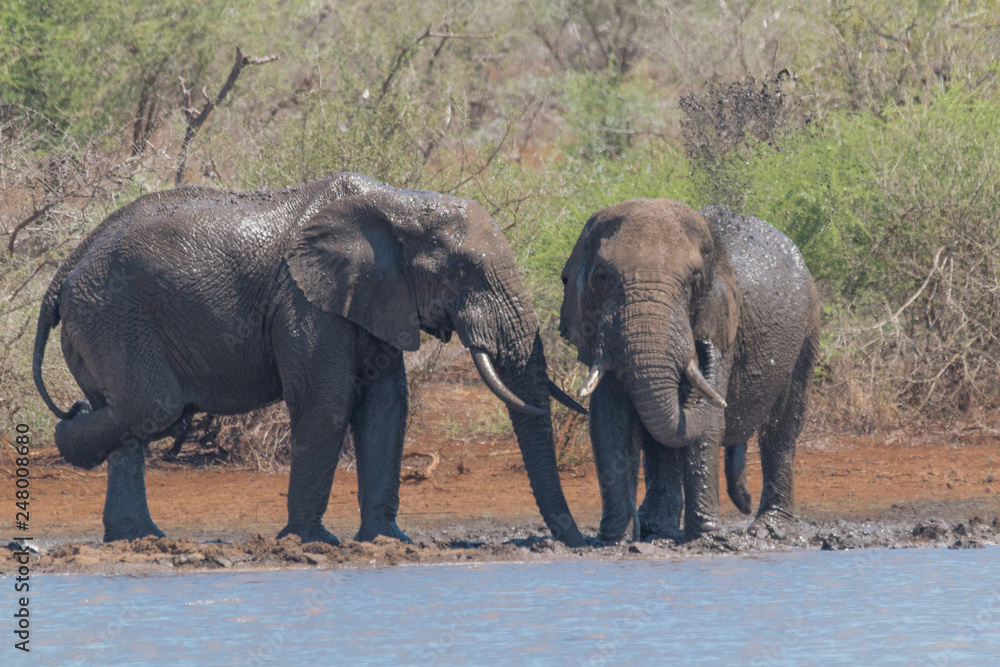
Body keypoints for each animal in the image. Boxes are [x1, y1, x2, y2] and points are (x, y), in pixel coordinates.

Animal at [33, 172, 587, 546]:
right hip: (111, 316)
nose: (580, 540)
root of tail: (61, 275)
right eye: (464, 272)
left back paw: (140, 537)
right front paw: (310, 543)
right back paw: (73, 435)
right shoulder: (306, 301)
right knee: (154, 409)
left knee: (137, 417)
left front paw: (387, 541)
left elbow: (386, 406)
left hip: (104, 318)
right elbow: (327, 402)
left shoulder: (373, 298)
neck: (402, 203)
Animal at [559, 198, 820, 542]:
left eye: (693, 283)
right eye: (601, 277)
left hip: (808, 329)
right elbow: (608, 419)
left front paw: (706, 538)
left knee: (782, 429)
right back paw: (656, 527)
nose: (701, 343)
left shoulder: (725, 324)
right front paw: (614, 539)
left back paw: (770, 530)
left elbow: (708, 421)